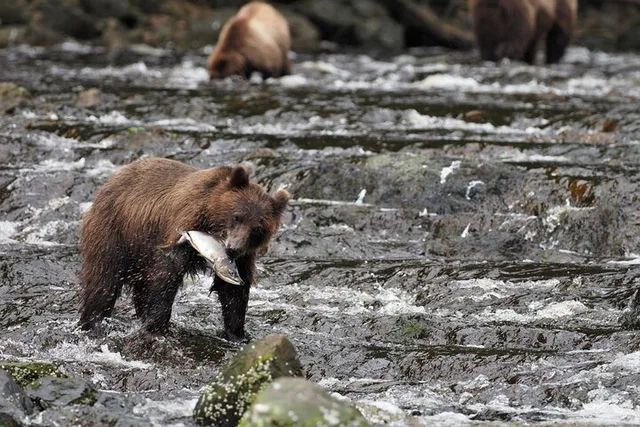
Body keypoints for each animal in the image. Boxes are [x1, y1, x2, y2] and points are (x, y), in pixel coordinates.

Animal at [78, 157, 290, 341]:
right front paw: (156, 327)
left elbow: (234, 291)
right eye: (237, 217)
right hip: (115, 232)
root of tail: (110, 181)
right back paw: (92, 323)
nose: (233, 248)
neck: (210, 217)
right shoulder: (183, 221)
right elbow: (166, 274)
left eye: (257, 229)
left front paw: (237, 333)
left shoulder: (244, 257)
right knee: (104, 281)